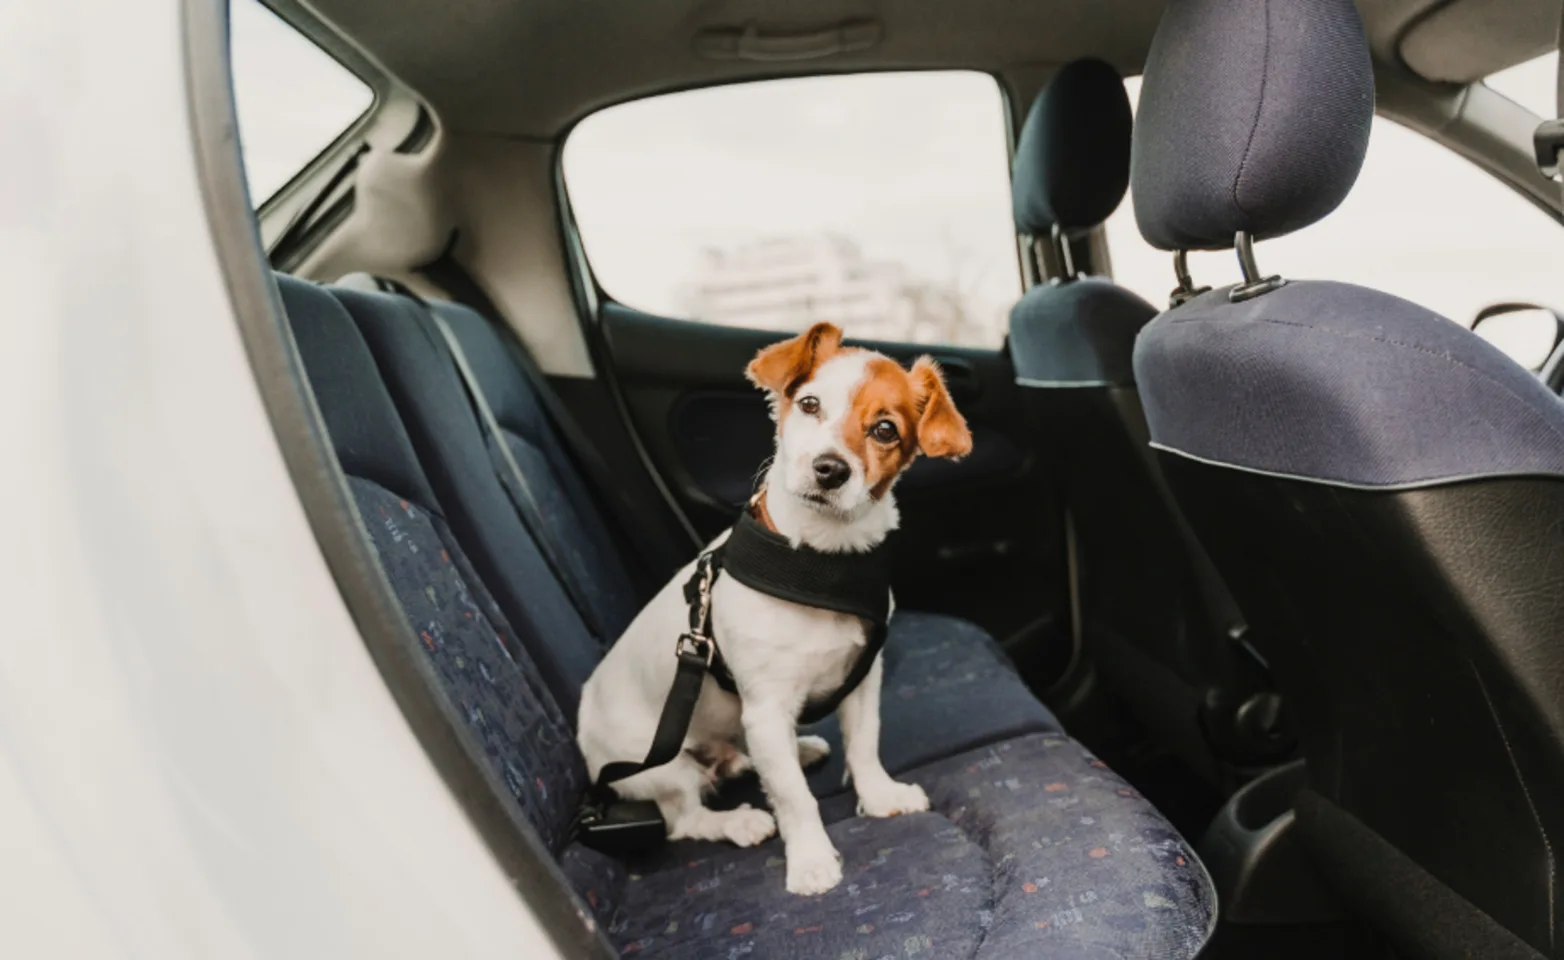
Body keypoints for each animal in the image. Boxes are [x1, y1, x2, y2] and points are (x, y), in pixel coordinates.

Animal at [578, 323, 963, 894]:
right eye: (809, 404)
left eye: (885, 430)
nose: (829, 469)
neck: (819, 563)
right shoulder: (764, 706)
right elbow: (794, 797)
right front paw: (810, 860)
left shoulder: (862, 680)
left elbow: (864, 744)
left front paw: (879, 796)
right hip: (657, 766)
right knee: (685, 817)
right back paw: (738, 821)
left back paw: (789, 752)